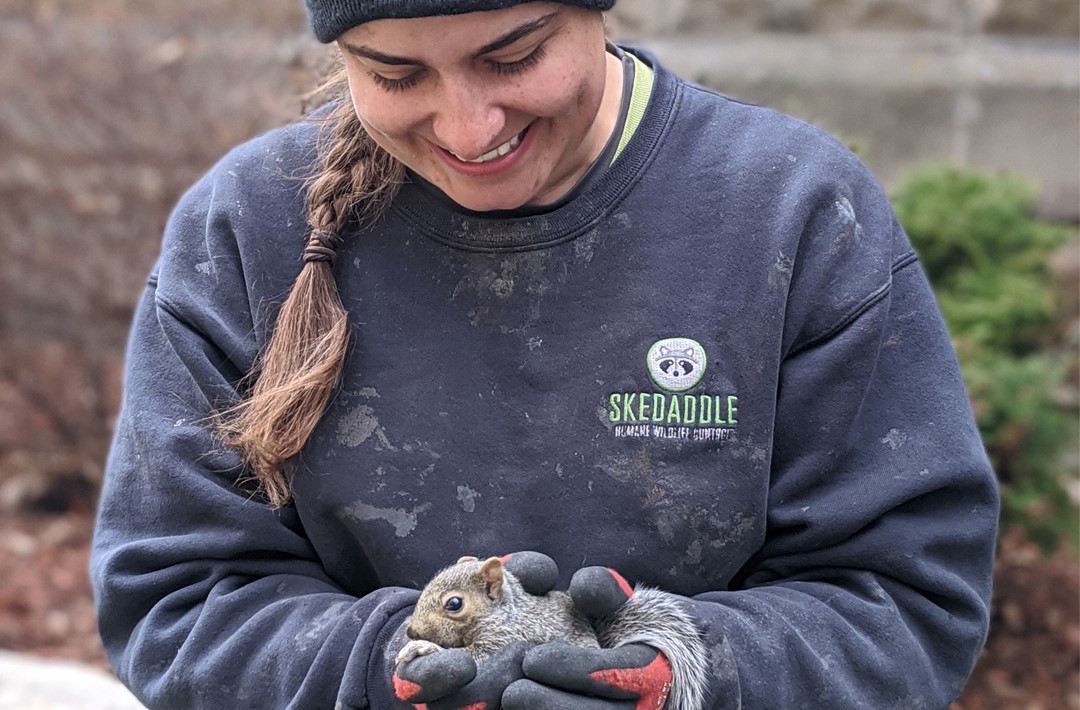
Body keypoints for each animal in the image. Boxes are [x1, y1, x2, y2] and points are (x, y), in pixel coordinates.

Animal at [397, 553, 708, 708]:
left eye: (454, 604)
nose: (412, 631)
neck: (505, 613)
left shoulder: (507, 638)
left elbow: (477, 656)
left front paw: (423, 648)